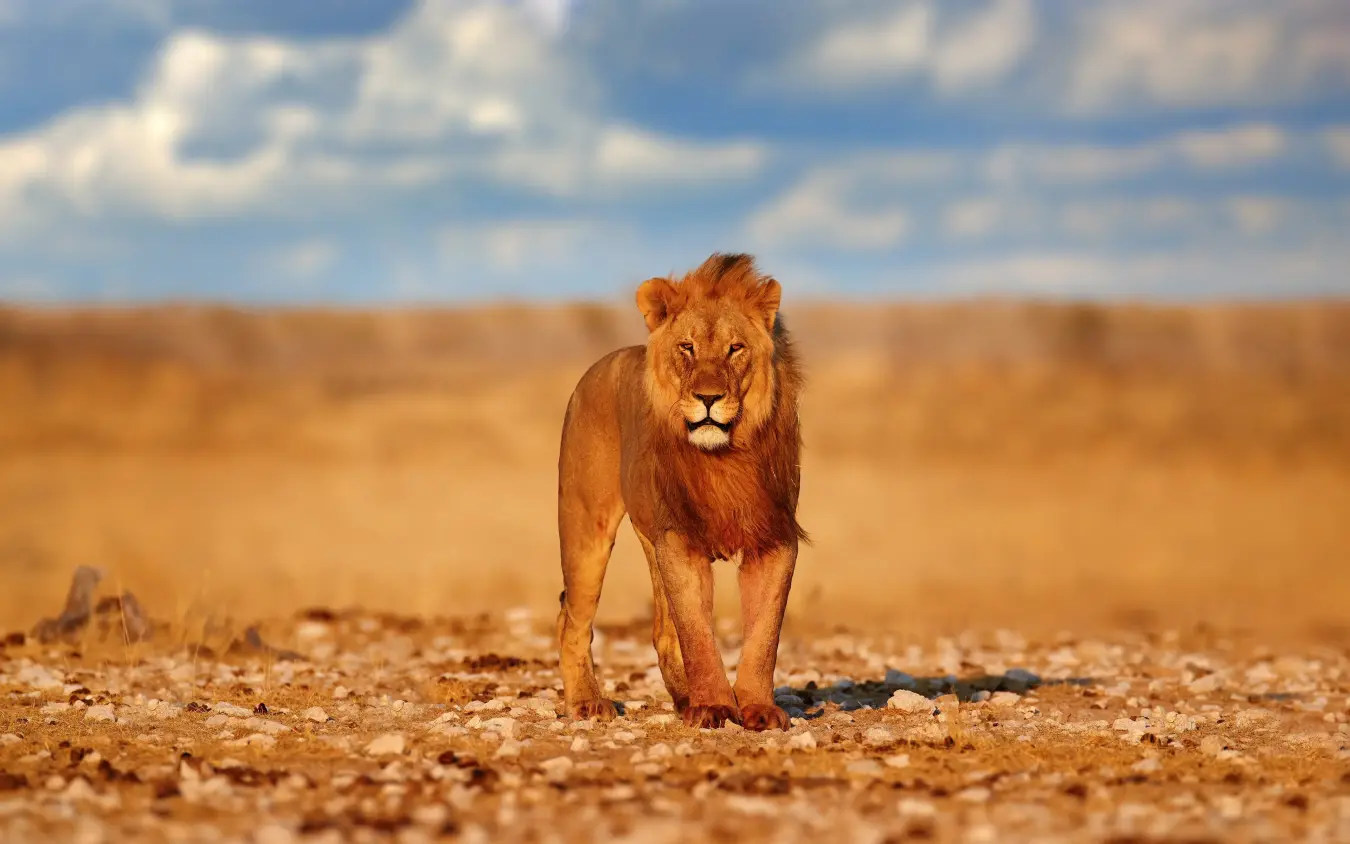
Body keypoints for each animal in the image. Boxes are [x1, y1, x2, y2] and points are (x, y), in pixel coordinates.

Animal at [555, 252, 807, 731]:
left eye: (735, 348)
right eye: (686, 348)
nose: (708, 398)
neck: (724, 457)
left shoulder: (774, 535)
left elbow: (764, 634)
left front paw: (758, 708)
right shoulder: (678, 538)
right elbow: (697, 632)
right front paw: (713, 707)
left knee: (661, 630)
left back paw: (683, 697)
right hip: (585, 526)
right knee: (572, 617)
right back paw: (587, 702)